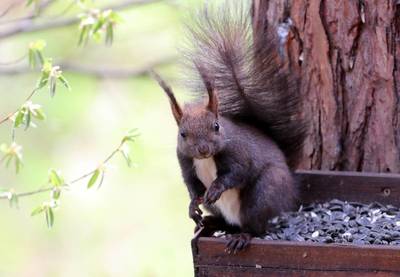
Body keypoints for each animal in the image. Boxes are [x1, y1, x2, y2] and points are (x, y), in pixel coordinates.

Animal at [152, 1, 308, 252]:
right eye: (182, 134)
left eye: (216, 126)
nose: (203, 149)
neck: (207, 160)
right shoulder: (184, 161)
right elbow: (192, 186)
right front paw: (192, 206)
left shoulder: (239, 153)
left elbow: (237, 173)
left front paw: (216, 188)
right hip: (223, 208)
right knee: (226, 220)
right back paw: (209, 221)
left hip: (264, 193)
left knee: (256, 226)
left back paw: (242, 236)